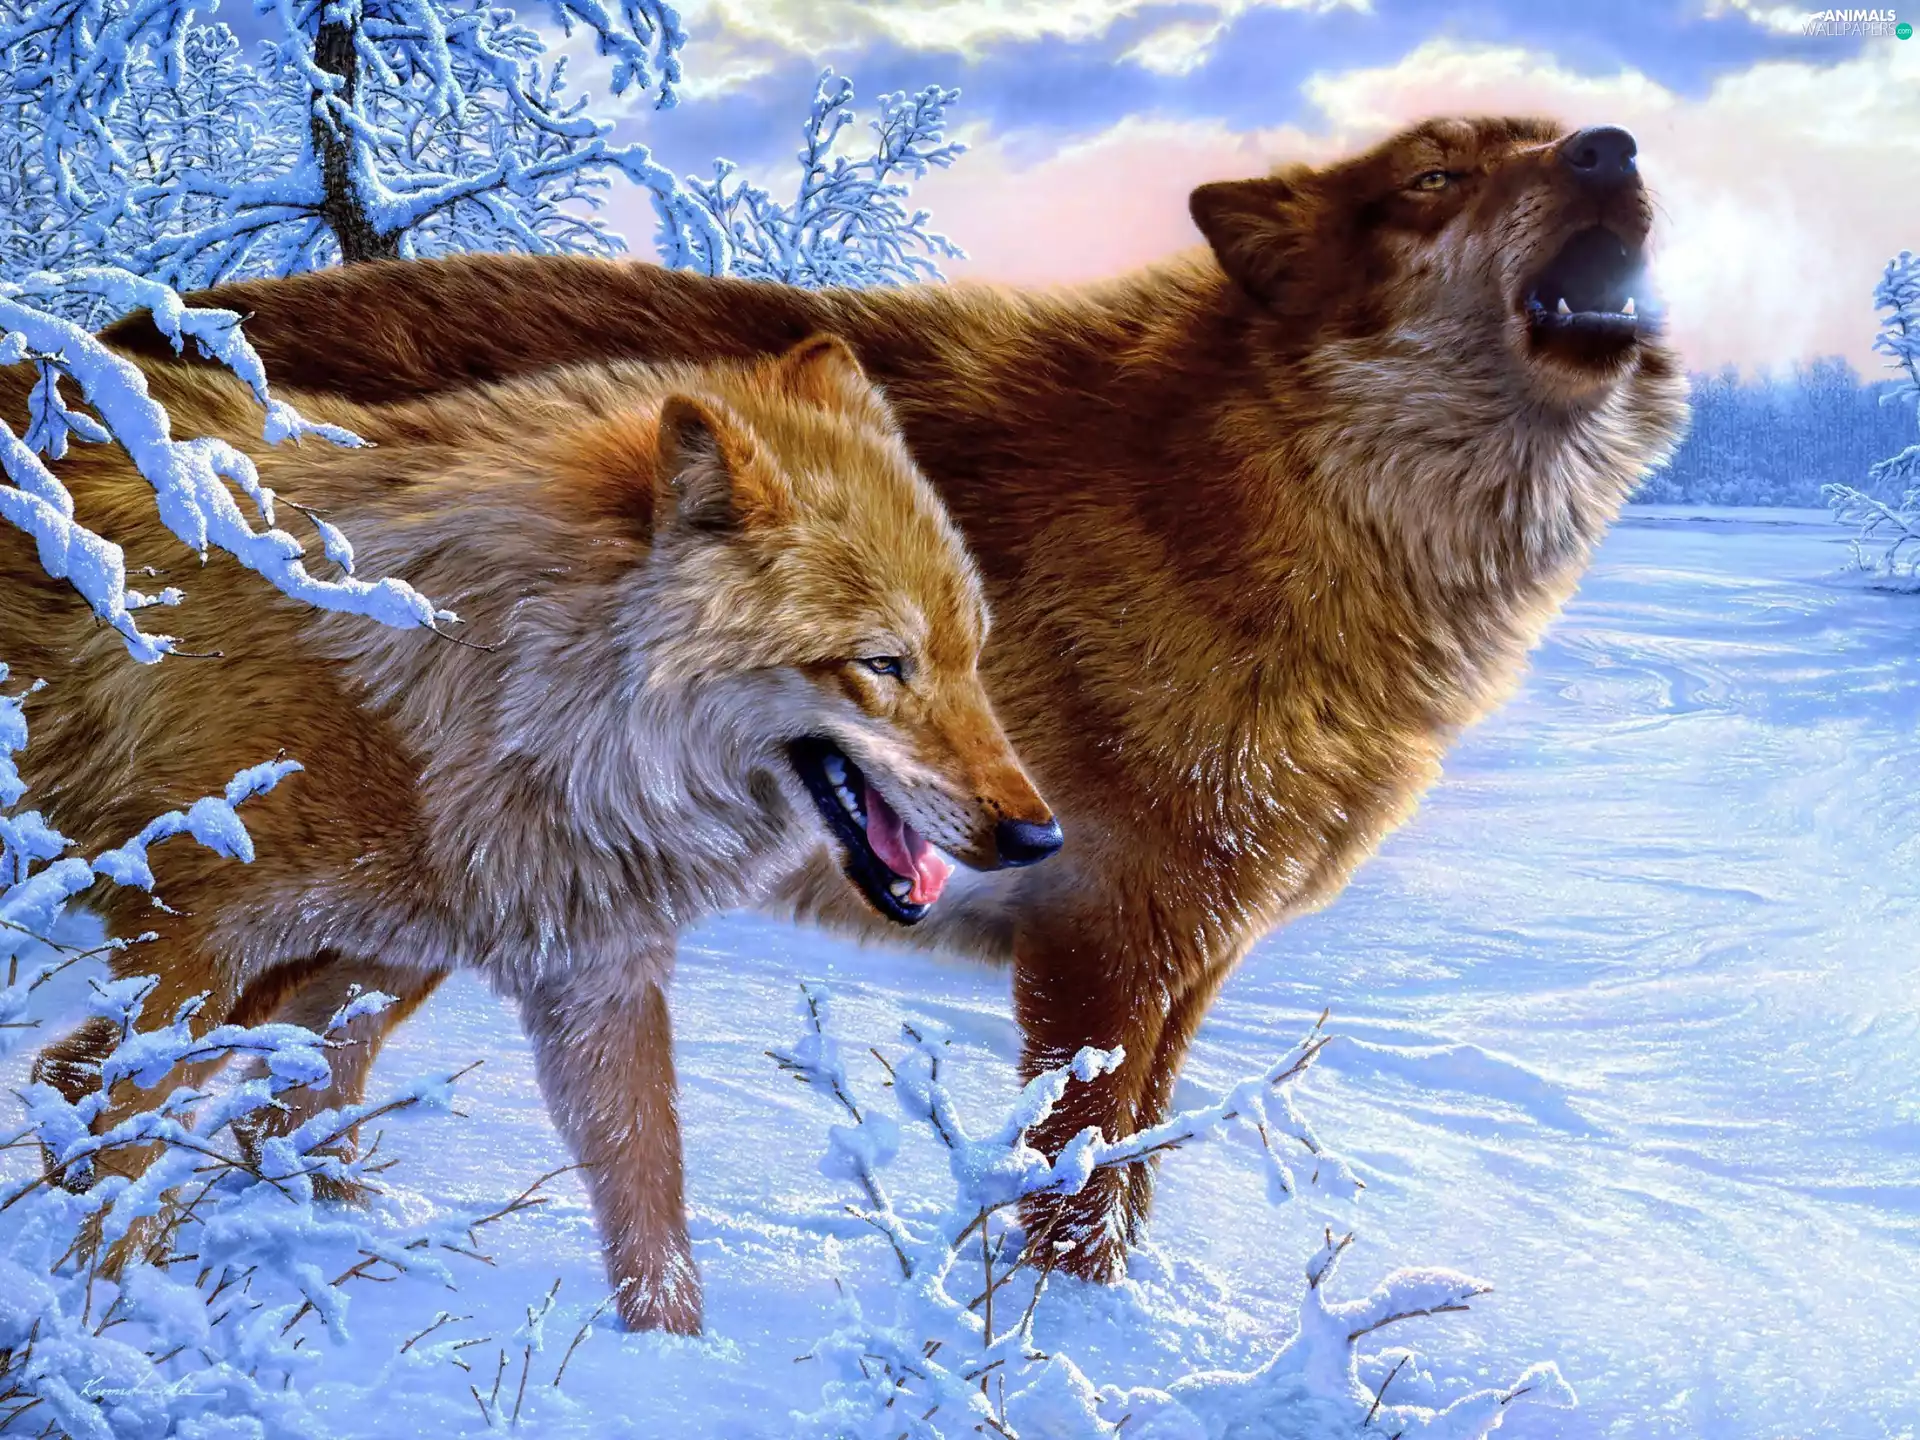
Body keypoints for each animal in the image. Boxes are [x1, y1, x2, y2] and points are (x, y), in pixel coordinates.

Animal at [2, 335, 1061, 1333]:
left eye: (971, 656)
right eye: (884, 663)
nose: (1038, 837)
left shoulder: (593, 974)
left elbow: (648, 1199)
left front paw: (665, 1363)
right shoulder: (186, 946)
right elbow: (116, 1138)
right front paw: (96, 1322)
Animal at [105, 116, 1691, 1280]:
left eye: (1546, 138)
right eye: (1436, 178)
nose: (1614, 145)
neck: (1273, 504)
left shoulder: (1195, 958)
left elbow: (1133, 1181)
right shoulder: (1104, 947)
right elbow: (1073, 1195)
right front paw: (1055, 1351)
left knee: (281, 1093)